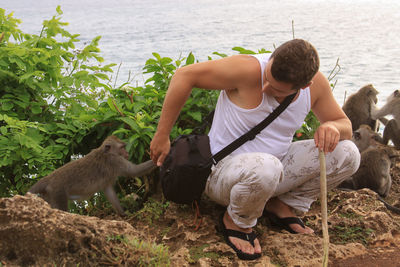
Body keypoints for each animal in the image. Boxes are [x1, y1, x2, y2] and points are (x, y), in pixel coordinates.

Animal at [27, 137, 156, 217]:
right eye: (122, 148)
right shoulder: (115, 161)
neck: (106, 152)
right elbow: (134, 171)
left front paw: (122, 213)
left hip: (48, 195)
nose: (127, 153)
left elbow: (109, 191)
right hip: (57, 193)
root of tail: (48, 178)